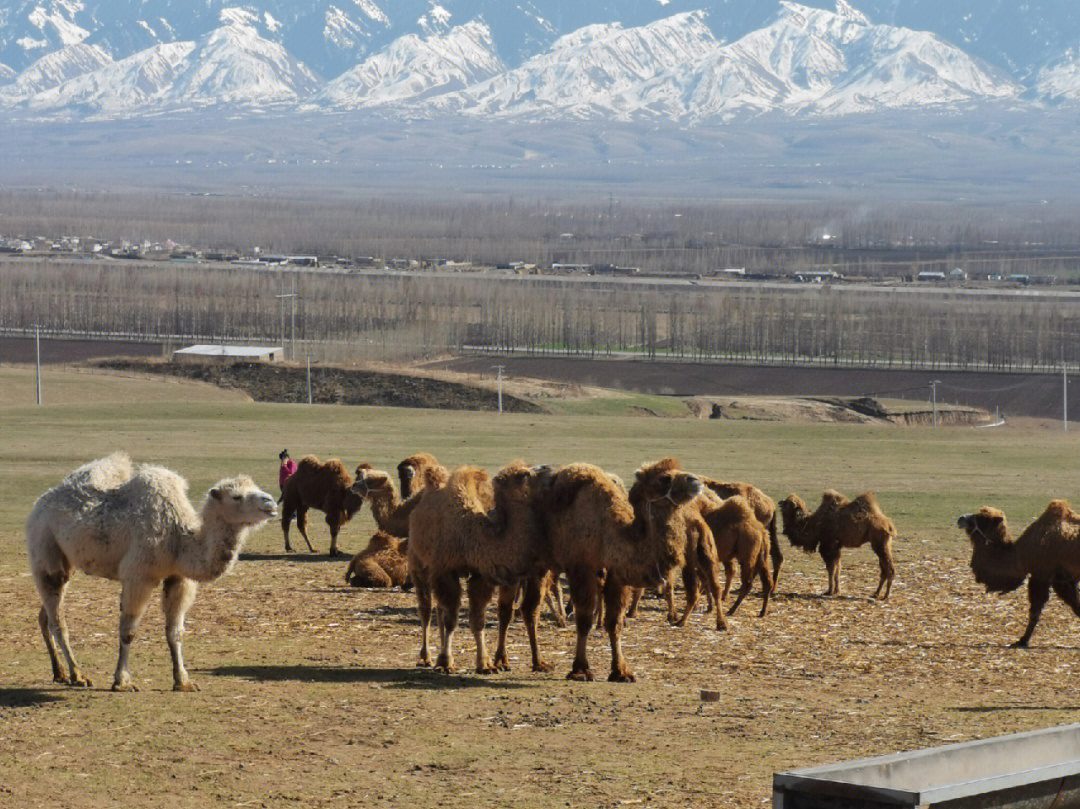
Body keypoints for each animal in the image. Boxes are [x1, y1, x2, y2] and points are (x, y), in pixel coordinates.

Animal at [27, 451, 278, 691]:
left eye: (255, 488)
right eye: (236, 496)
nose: (271, 502)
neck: (178, 539)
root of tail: (39, 503)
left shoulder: (179, 577)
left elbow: (175, 632)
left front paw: (183, 682)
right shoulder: (139, 576)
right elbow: (128, 631)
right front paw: (122, 682)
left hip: (66, 562)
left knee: (45, 615)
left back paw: (60, 673)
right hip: (44, 547)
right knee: (58, 619)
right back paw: (78, 675)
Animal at [408, 460, 552, 673]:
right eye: (523, 474)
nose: (547, 468)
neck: (472, 533)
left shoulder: (480, 575)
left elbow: (478, 619)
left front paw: (485, 664)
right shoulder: (445, 570)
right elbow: (451, 620)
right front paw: (445, 662)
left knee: (440, 610)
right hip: (418, 562)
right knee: (426, 609)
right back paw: (426, 657)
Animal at [533, 457, 704, 678]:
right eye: (664, 478)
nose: (696, 481)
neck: (610, 533)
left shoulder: (617, 576)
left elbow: (615, 623)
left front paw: (621, 671)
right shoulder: (582, 569)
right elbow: (584, 620)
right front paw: (580, 669)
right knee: (530, 610)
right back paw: (532, 662)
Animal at [959, 501, 1080, 648]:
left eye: (982, 519)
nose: (961, 518)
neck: (1019, 555)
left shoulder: (1043, 576)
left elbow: (1035, 611)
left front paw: (1022, 641)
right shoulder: (1064, 579)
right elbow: (1076, 606)